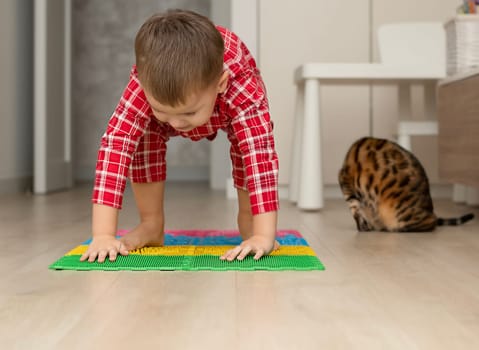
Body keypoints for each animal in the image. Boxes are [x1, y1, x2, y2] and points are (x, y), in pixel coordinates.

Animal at [340, 137, 474, 232]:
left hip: (395, 211)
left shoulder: (348, 187)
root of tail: (431, 210)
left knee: (430, 223)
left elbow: (356, 212)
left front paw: (365, 226)